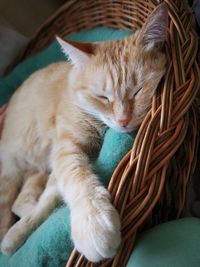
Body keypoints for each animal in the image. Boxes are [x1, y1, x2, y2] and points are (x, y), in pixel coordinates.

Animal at [0, 3, 168, 264]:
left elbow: (53, 192)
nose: (123, 120)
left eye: (138, 91)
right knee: (16, 203)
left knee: (26, 200)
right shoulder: (66, 148)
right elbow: (77, 179)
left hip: (34, 171)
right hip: (17, 166)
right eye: (103, 97)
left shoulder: (57, 159)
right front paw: (93, 223)